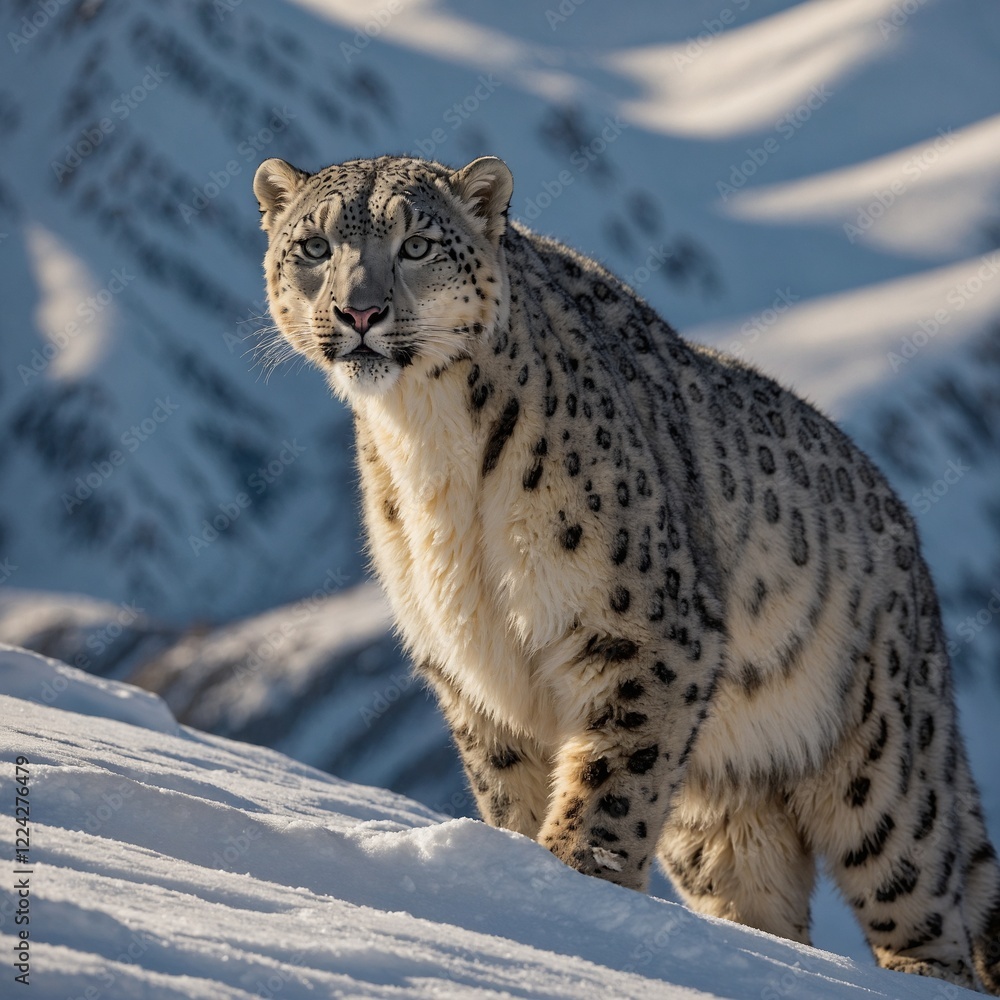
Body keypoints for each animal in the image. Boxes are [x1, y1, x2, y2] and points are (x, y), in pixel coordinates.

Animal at [254, 153, 1000, 992]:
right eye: (314, 247)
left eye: (416, 245)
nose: (359, 312)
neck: (427, 442)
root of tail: (908, 537)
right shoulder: (470, 663)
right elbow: (508, 786)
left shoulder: (643, 630)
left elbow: (610, 784)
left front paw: (572, 882)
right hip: (722, 808)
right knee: (758, 895)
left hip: (882, 765)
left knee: (922, 898)